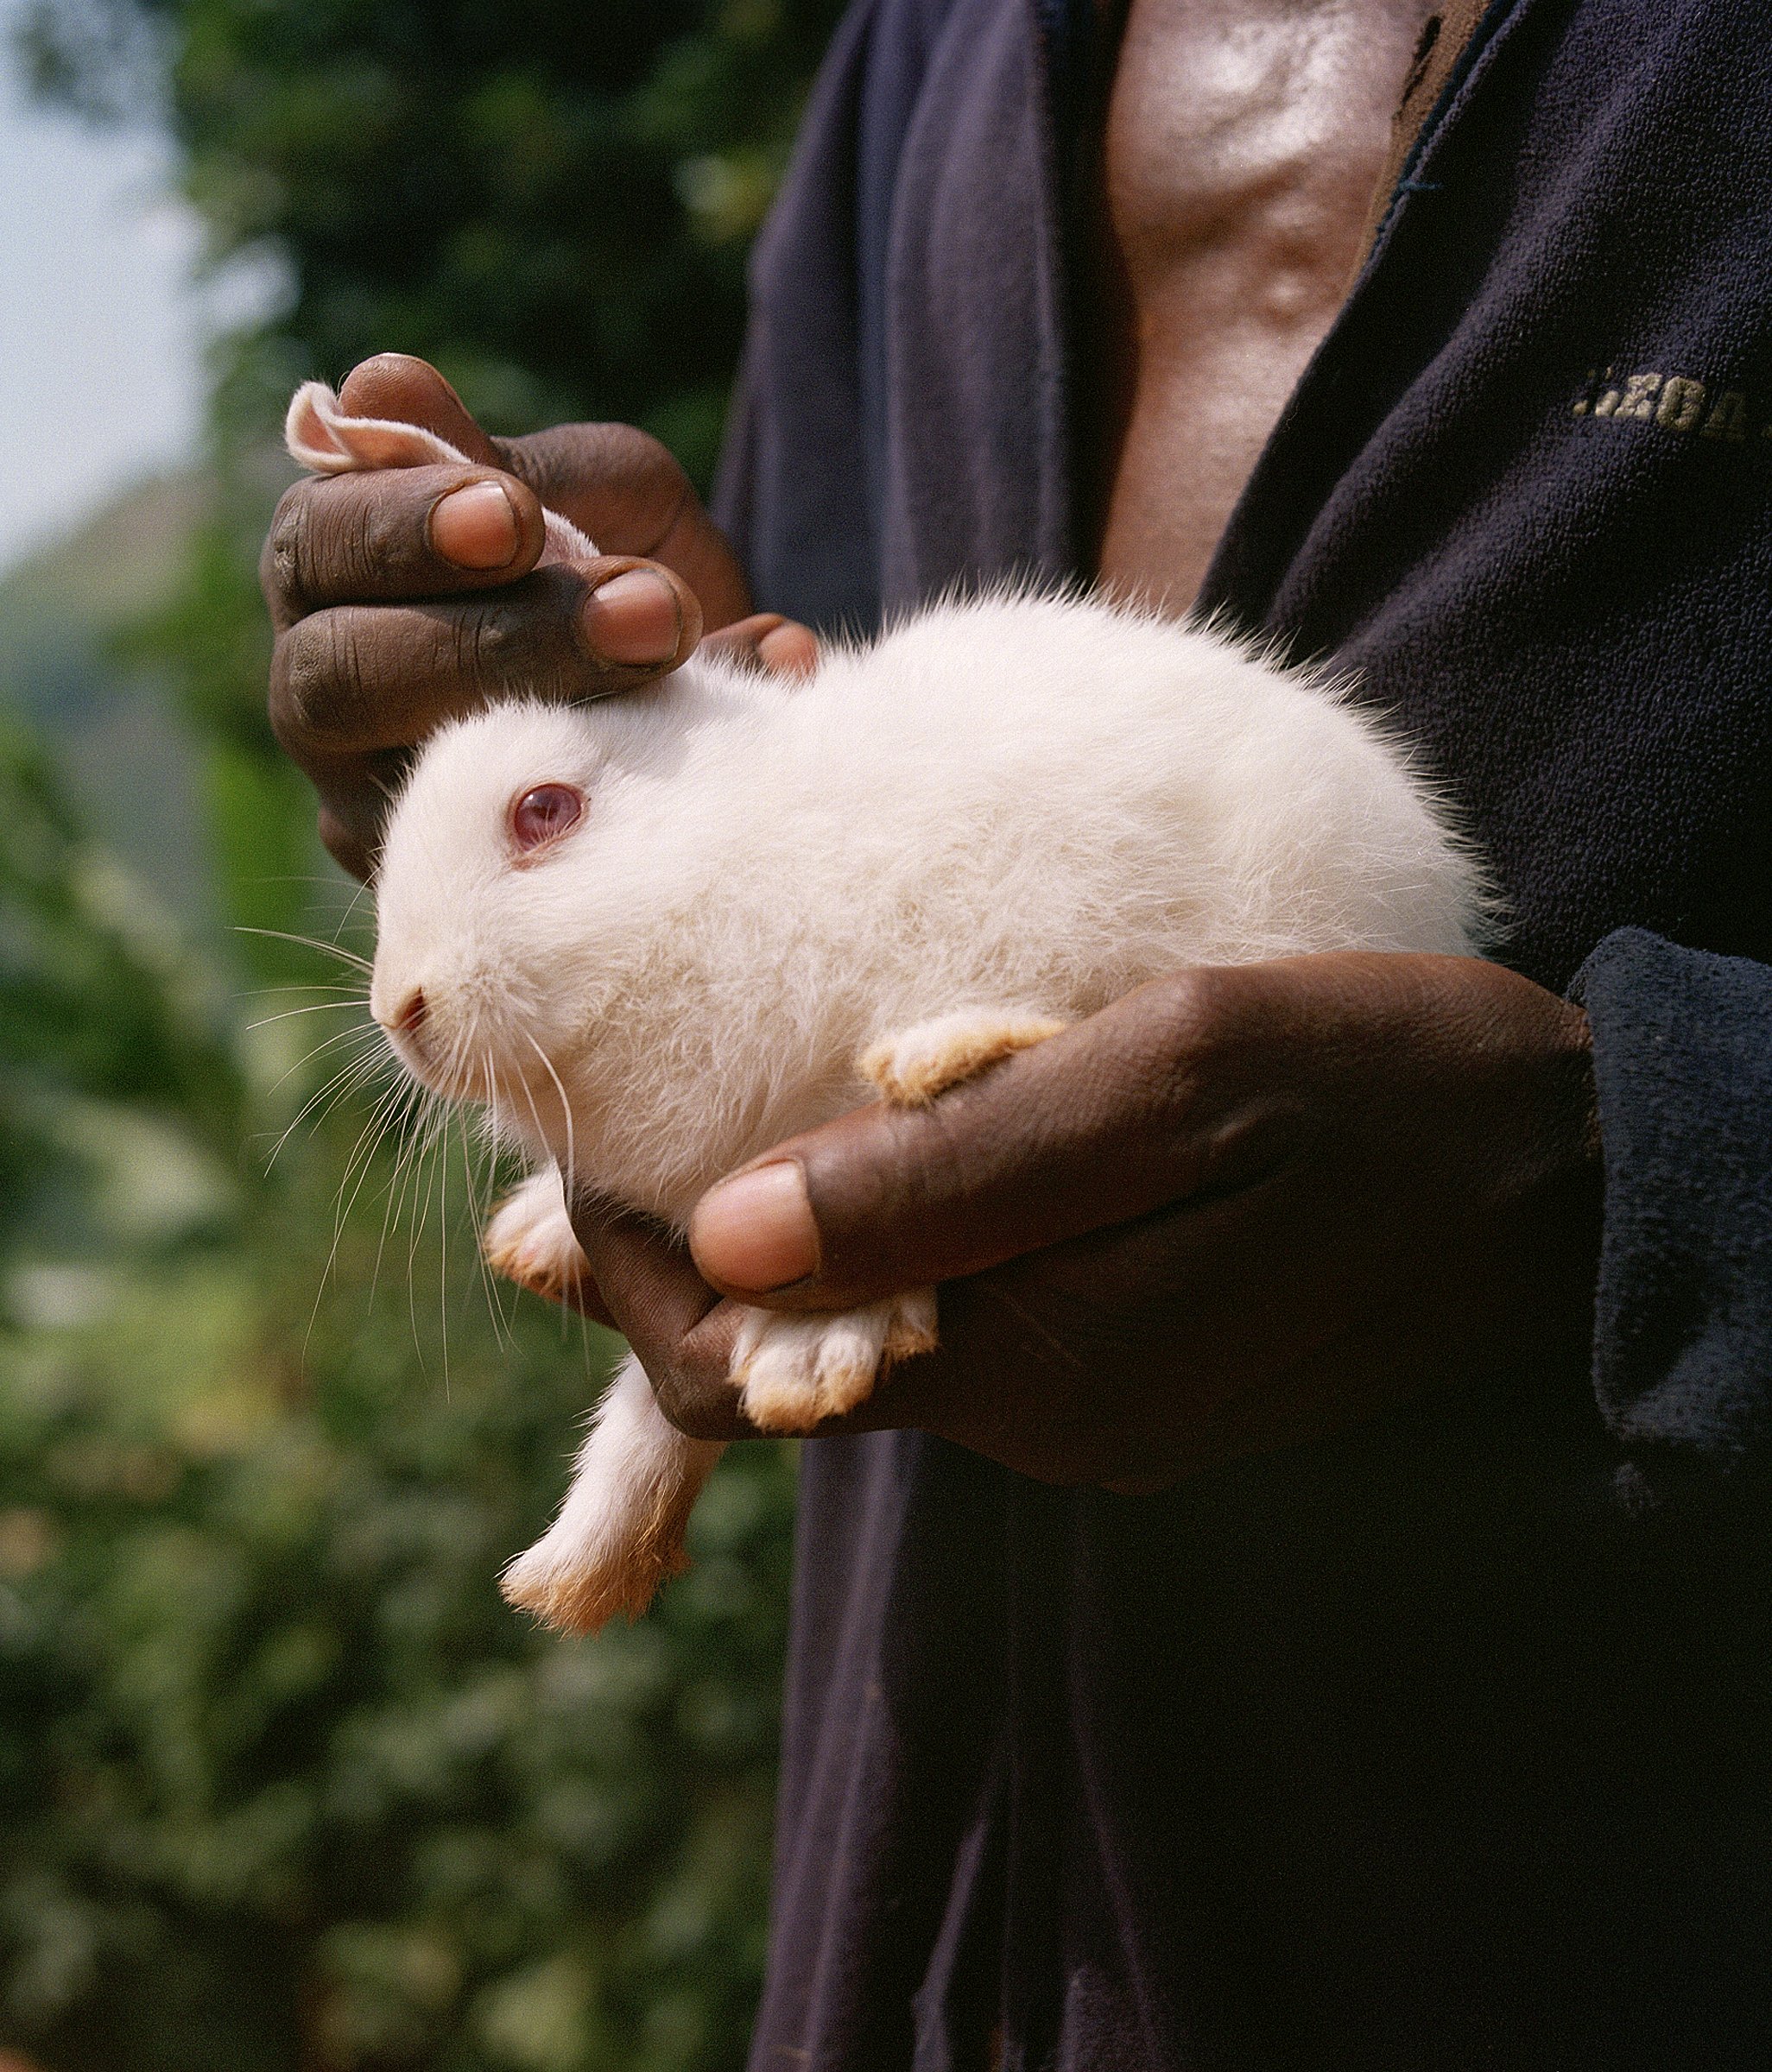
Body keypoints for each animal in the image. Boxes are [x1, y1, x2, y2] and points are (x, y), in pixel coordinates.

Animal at [290, 376, 1484, 1633]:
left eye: (544, 811)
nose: (402, 1010)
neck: (722, 859)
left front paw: (808, 1357)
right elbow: (650, 1417)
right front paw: (575, 1569)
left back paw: (943, 1053)